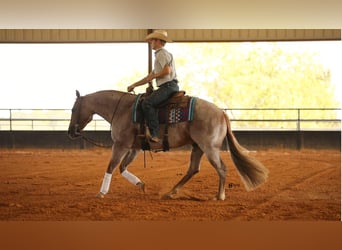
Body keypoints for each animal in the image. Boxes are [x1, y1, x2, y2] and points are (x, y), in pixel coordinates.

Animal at [67, 89, 270, 200]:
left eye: (74, 109)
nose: (70, 132)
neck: (122, 109)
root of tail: (221, 113)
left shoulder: (121, 145)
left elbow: (111, 166)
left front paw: (101, 192)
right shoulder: (135, 148)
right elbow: (122, 167)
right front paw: (140, 184)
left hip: (209, 148)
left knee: (221, 168)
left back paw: (219, 196)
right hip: (198, 147)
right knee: (193, 169)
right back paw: (171, 192)